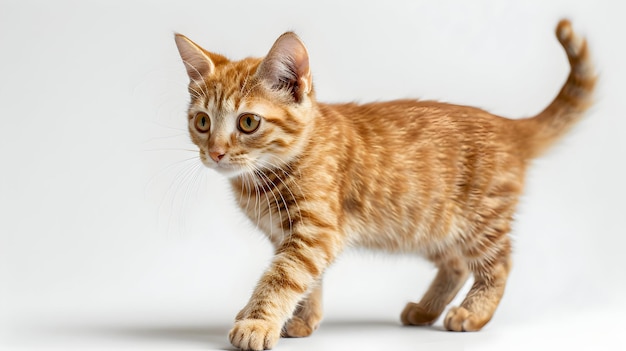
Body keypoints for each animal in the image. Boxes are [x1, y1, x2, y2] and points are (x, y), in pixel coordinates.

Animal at [173, 20, 592, 351]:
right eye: (202, 122)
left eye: (248, 123)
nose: (216, 153)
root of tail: (509, 125)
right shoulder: (292, 237)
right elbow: (307, 279)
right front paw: (302, 320)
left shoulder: (314, 232)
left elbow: (282, 277)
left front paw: (257, 323)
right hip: (429, 225)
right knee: (456, 264)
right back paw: (425, 309)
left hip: (479, 220)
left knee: (498, 264)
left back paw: (473, 313)